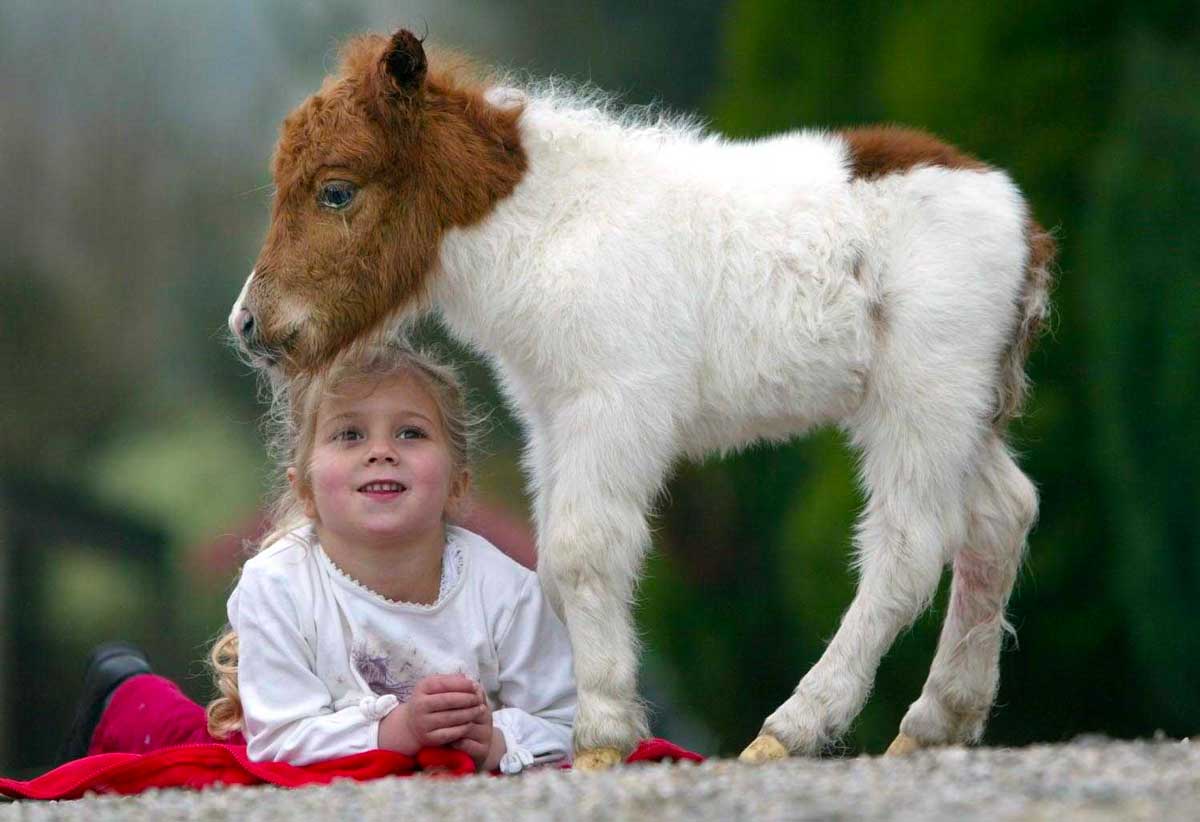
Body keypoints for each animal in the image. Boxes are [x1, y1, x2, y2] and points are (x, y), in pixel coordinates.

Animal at [229, 28, 1054, 769]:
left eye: (336, 191)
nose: (248, 326)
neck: (553, 231)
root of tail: (1021, 221)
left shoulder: (613, 407)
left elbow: (583, 552)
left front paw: (598, 740)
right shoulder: (552, 420)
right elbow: (554, 568)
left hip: (922, 399)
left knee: (908, 547)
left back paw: (792, 728)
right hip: (961, 411)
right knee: (1001, 517)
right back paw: (939, 721)